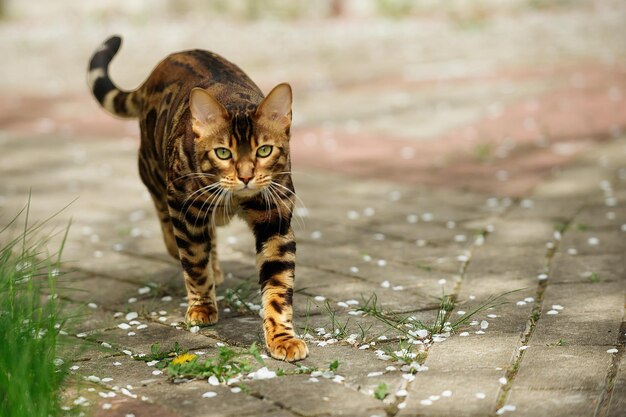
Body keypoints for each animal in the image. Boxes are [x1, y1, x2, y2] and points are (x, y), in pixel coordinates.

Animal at [87, 35, 308, 360]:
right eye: (223, 152)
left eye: (264, 150)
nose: (245, 176)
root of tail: (164, 63)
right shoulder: (186, 211)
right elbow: (194, 263)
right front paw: (202, 307)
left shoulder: (275, 219)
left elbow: (278, 286)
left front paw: (282, 338)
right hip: (154, 172)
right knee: (170, 225)